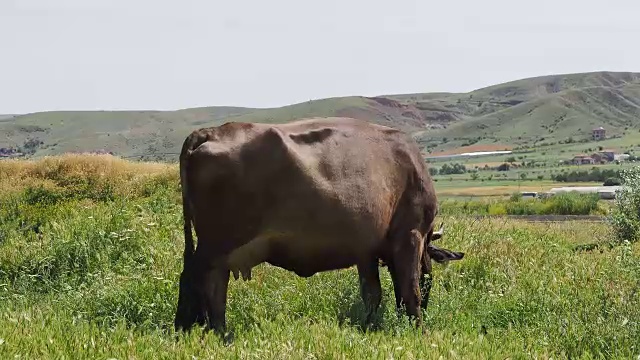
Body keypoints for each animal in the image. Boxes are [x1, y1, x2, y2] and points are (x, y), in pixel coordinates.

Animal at [175, 116, 462, 336]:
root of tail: (210, 132)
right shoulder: (410, 235)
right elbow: (410, 290)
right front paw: (419, 332)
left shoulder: (366, 251)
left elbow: (373, 294)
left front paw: (370, 326)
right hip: (216, 244)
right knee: (205, 283)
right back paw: (217, 333)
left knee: (197, 281)